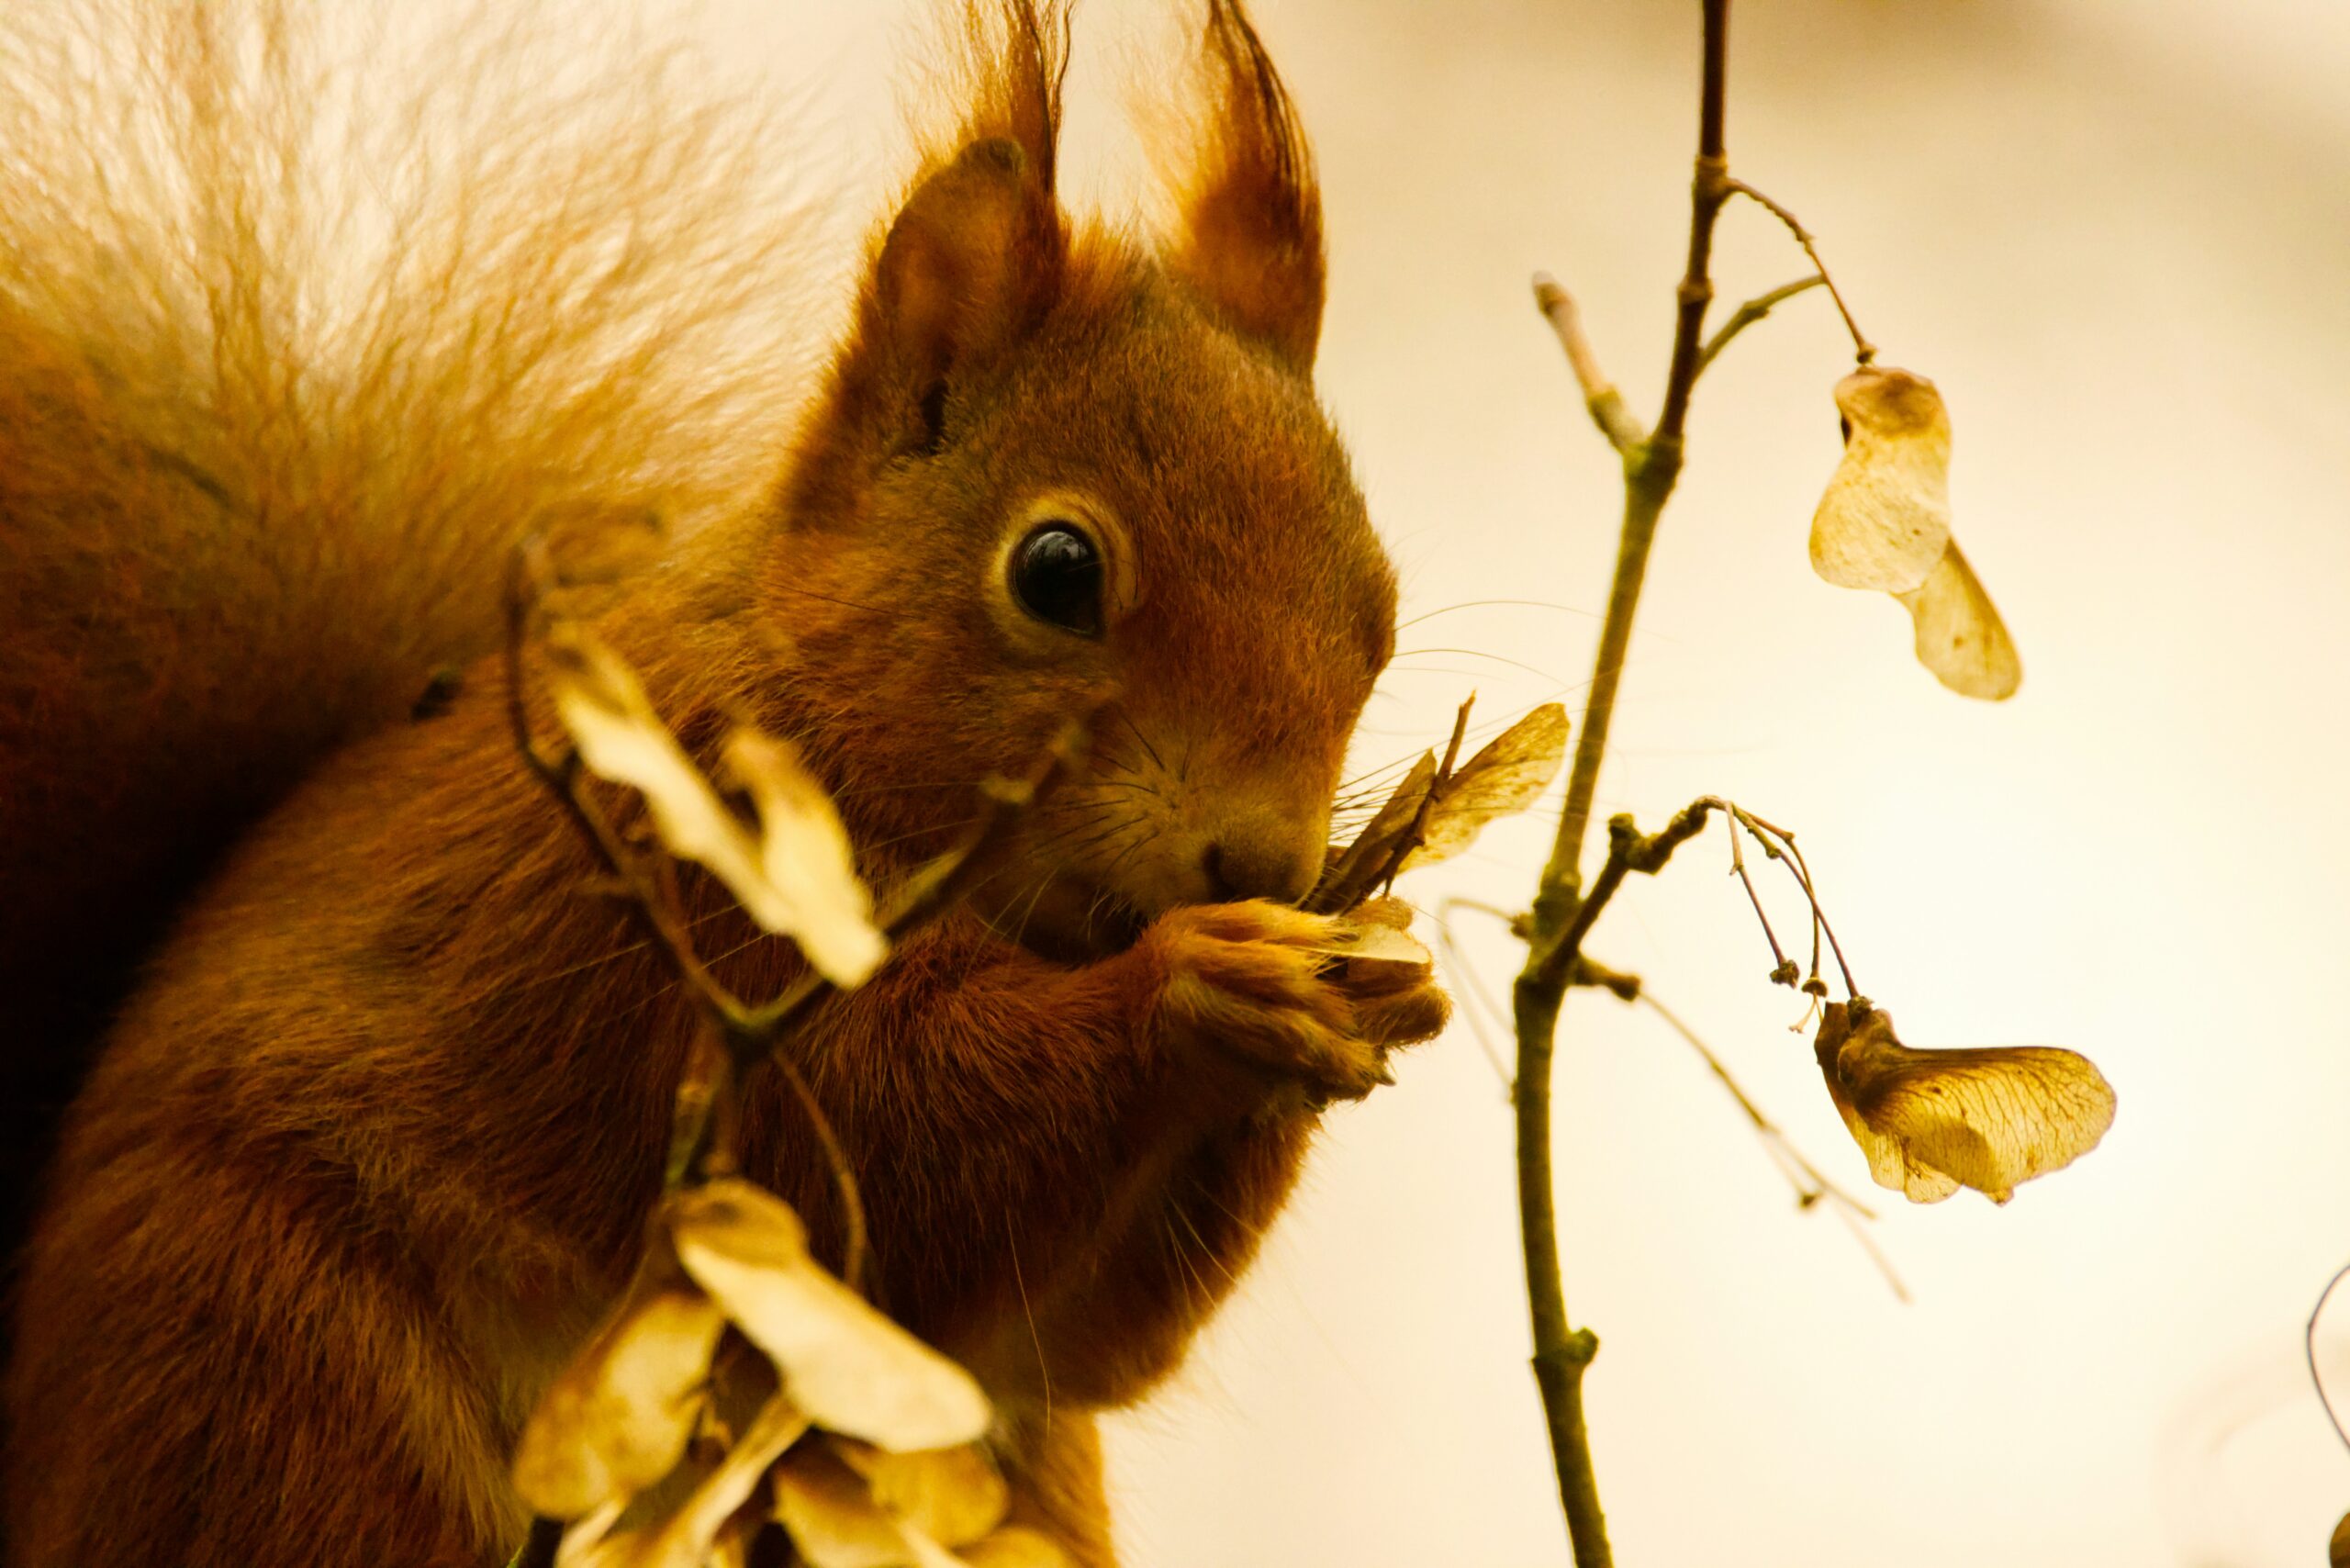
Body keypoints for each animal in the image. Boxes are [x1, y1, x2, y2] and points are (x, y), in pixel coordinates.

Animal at [0, 1, 1449, 1563]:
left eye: (1377, 605)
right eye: (1057, 572)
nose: (1265, 863)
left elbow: (1072, 1341)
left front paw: (1376, 988)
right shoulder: (685, 902)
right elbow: (890, 1144)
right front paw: (1204, 984)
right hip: (286, 1372)